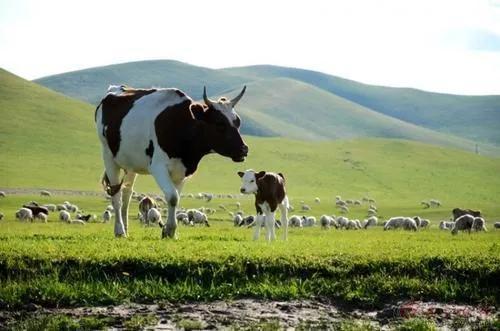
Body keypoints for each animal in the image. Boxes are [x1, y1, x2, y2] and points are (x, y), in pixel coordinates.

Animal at [95, 84, 248, 237]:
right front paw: (170, 230)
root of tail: (116, 88)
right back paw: (120, 230)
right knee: (116, 195)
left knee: (127, 194)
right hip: (108, 157)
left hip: (131, 164)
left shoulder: (182, 171)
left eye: (238, 122)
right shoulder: (158, 167)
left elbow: (176, 198)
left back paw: (126, 229)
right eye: (220, 124)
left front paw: (169, 231)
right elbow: (173, 197)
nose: (244, 149)